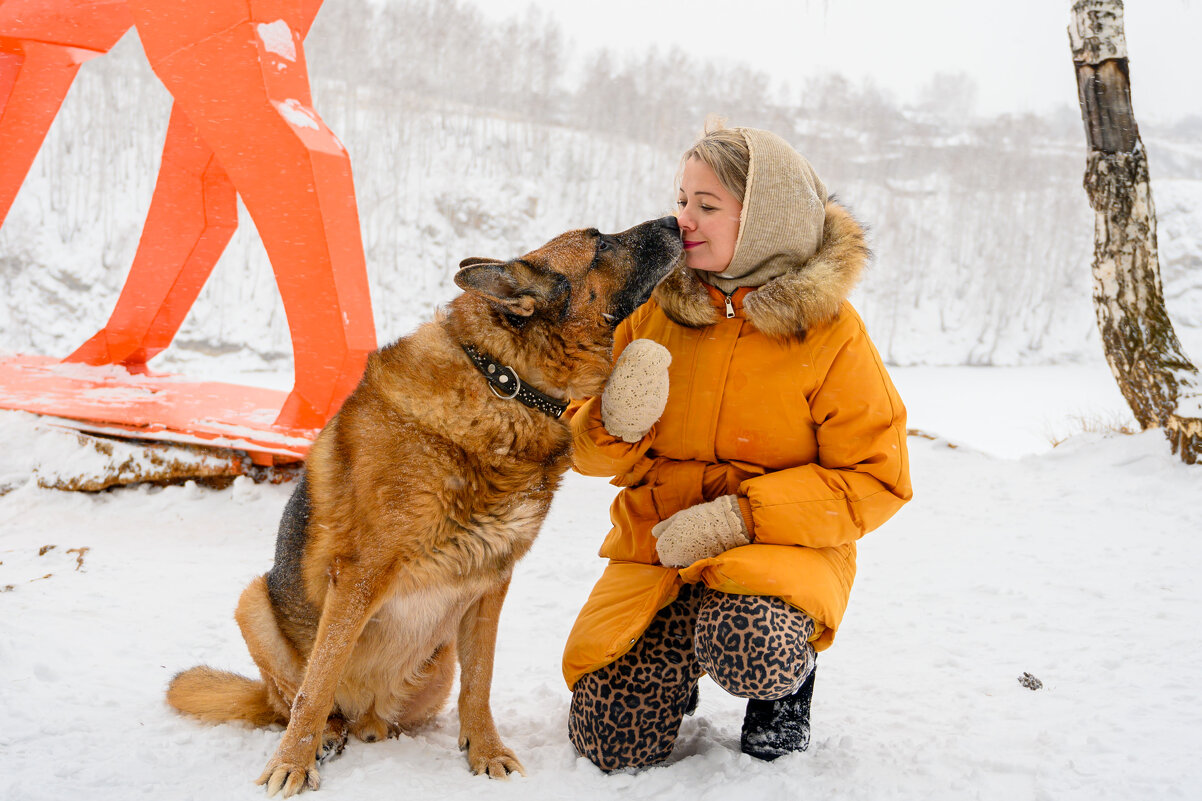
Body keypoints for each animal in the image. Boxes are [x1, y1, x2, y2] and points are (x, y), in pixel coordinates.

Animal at [164, 216, 682, 793]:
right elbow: (315, 686)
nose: (675, 219)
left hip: (436, 663)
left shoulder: (492, 581)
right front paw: (292, 765)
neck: (504, 382)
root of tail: (366, 712)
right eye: (600, 242)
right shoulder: (360, 576)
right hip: (253, 601)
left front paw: (485, 750)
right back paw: (323, 736)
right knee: (300, 699)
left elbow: (481, 679)